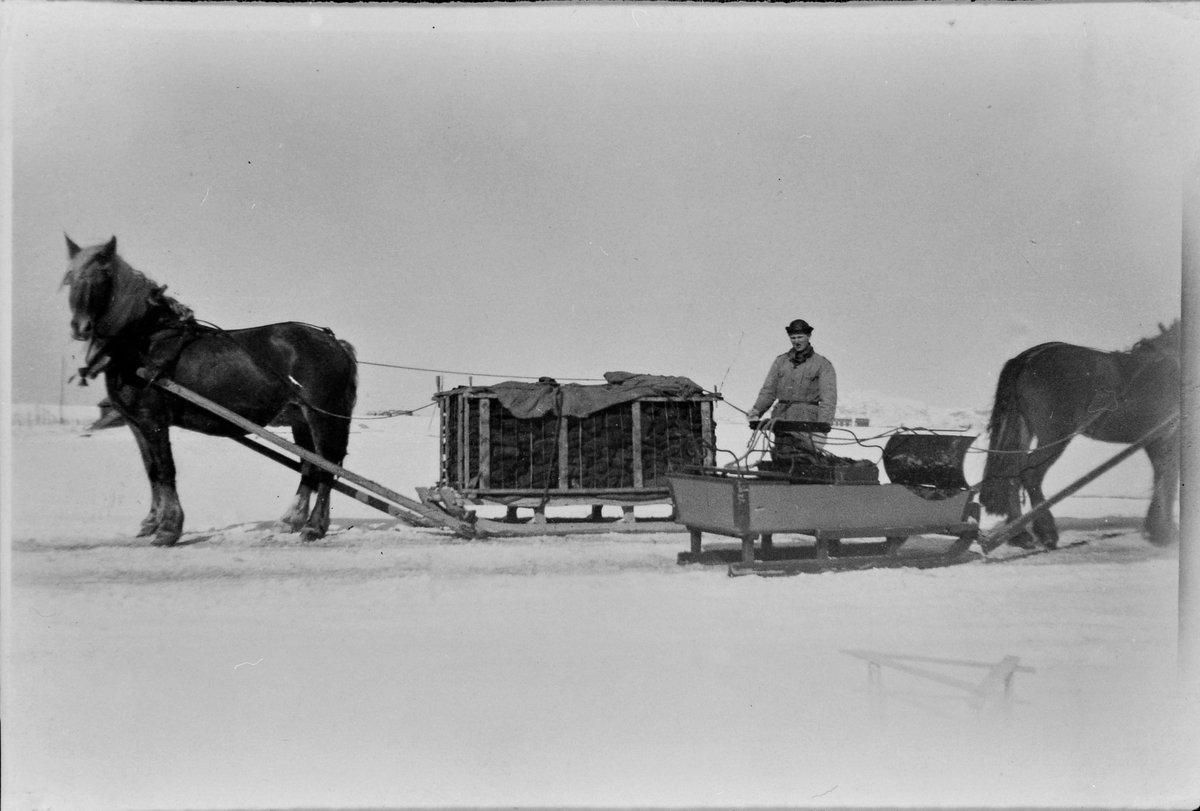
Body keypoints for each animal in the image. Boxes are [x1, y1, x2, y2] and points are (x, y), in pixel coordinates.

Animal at [64, 237, 355, 547]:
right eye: (70, 278)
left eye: (103, 276)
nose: (80, 328)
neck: (143, 344)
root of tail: (335, 343)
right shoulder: (136, 423)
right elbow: (151, 471)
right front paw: (151, 523)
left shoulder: (153, 420)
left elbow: (166, 469)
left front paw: (169, 529)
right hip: (300, 419)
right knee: (309, 467)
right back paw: (291, 520)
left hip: (322, 417)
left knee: (326, 467)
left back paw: (314, 526)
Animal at [984, 323, 1180, 551]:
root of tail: (1029, 357)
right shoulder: (1166, 435)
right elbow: (1167, 477)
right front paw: (1163, 532)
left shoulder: (1158, 438)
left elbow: (1163, 475)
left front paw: (1158, 528)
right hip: (1055, 435)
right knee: (1031, 474)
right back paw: (1046, 532)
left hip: (1023, 429)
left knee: (1011, 475)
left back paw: (1020, 535)